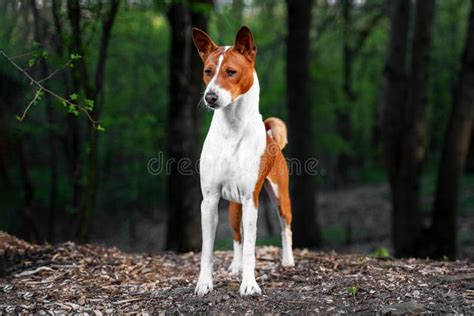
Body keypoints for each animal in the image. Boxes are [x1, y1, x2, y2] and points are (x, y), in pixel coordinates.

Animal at [192, 25, 292, 296]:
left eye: (231, 72)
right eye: (207, 71)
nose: (210, 96)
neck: (232, 129)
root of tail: (272, 139)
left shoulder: (251, 199)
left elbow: (251, 248)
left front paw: (249, 285)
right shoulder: (210, 200)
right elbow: (208, 249)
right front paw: (204, 283)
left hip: (279, 196)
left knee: (285, 227)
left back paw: (288, 260)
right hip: (233, 206)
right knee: (237, 235)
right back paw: (235, 267)